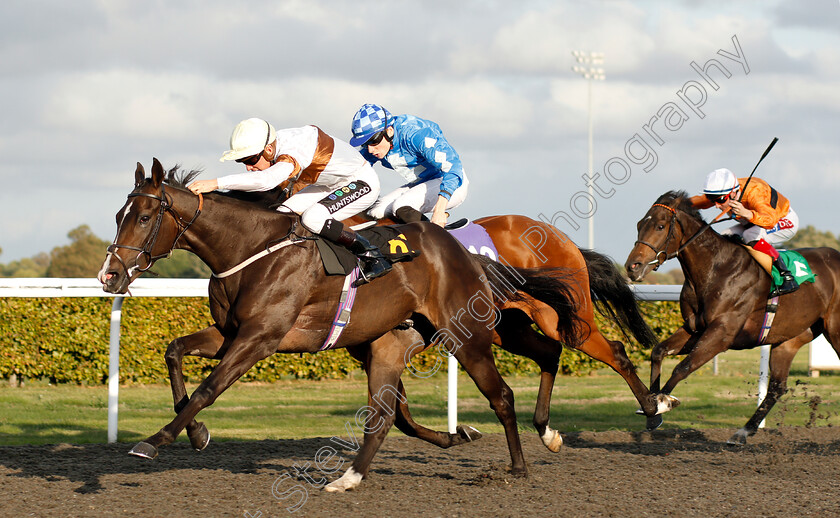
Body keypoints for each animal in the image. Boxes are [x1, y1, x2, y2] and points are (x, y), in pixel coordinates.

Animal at [97, 160, 584, 494]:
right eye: (119, 215)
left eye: (143, 218)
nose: (110, 276)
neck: (252, 248)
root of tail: (467, 254)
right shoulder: (230, 333)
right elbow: (174, 351)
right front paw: (196, 433)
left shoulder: (261, 338)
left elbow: (208, 389)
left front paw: (154, 440)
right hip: (387, 343)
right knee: (387, 415)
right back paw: (352, 476)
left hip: (467, 336)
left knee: (502, 393)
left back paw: (519, 465)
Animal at [624, 193, 840, 444]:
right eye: (639, 225)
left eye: (660, 226)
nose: (632, 267)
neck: (716, 269)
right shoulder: (695, 328)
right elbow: (659, 351)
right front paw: (652, 411)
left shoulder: (722, 333)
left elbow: (683, 367)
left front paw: (663, 402)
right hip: (789, 339)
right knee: (777, 387)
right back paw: (743, 431)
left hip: (835, 330)